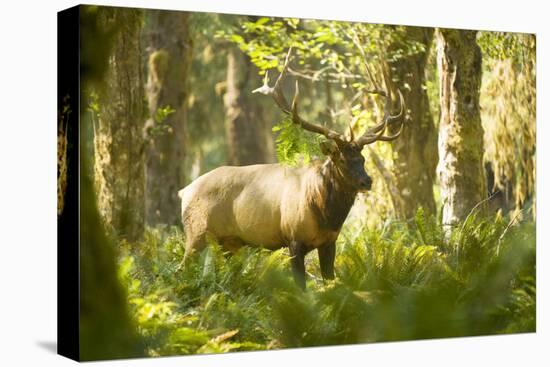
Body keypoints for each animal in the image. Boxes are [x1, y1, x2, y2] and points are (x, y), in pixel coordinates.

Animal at [179, 49, 408, 290]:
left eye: (362, 159)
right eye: (342, 160)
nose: (367, 181)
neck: (325, 215)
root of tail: (184, 191)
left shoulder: (329, 242)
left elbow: (330, 282)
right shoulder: (293, 238)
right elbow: (301, 288)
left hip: (230, 242)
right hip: (196, 233)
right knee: (181, 268)